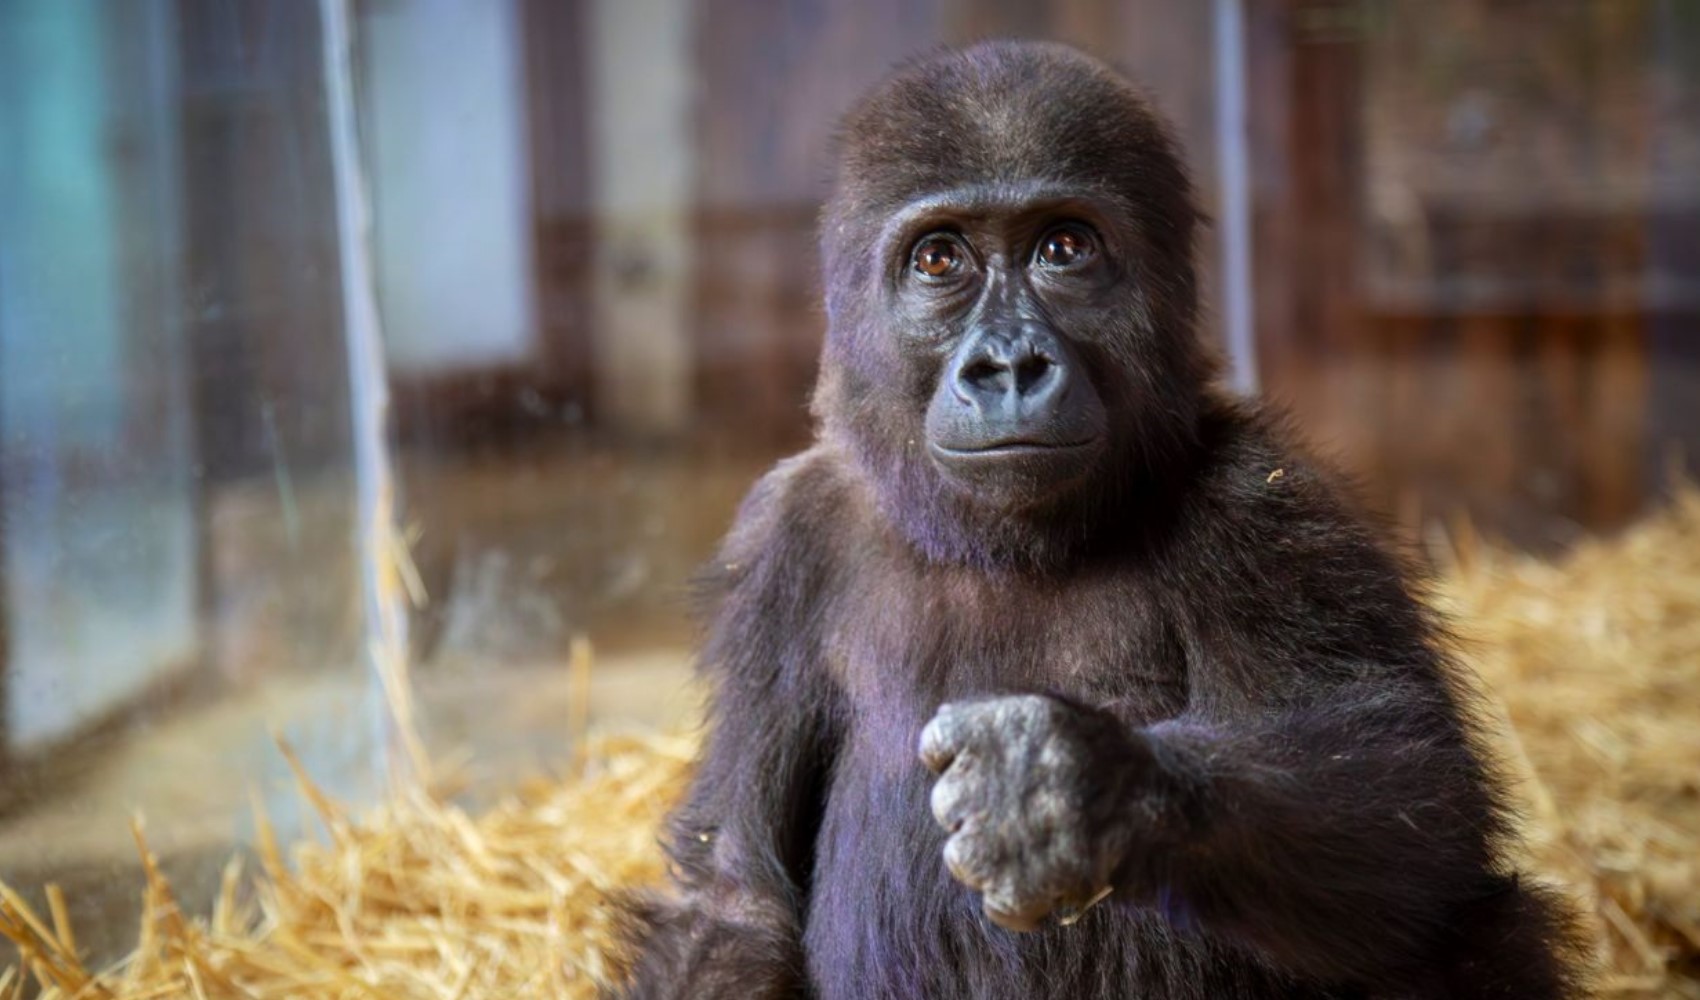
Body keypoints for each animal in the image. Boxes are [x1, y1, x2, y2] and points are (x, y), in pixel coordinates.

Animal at [615, 41, 1591, 1000]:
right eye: (939, 261)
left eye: (1064, 247)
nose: (1010, 365)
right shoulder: (780, 545)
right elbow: (733, 900)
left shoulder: (1266, 502)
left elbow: (1417, 805)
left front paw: (1080, 787)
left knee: (1463, 924)